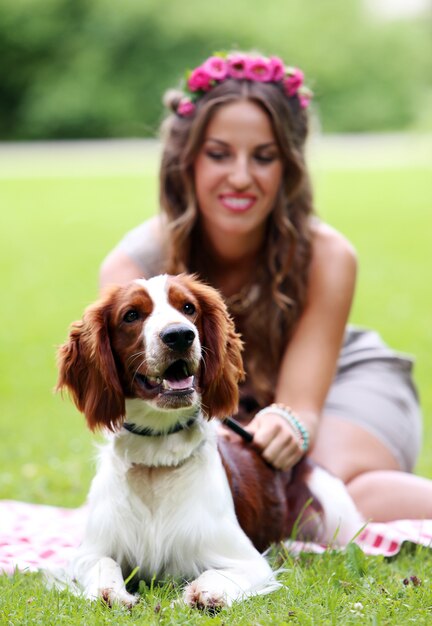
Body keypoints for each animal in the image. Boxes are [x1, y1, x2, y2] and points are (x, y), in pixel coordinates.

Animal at [56, 272, 362, 604]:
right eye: (132, 315)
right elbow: (104, 567)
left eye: (188, 307)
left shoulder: (249, 560)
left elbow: (214, 575)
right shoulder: (89, 553)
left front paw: (202, 595)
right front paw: (113, 593)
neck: (156, 459)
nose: (179, 335)